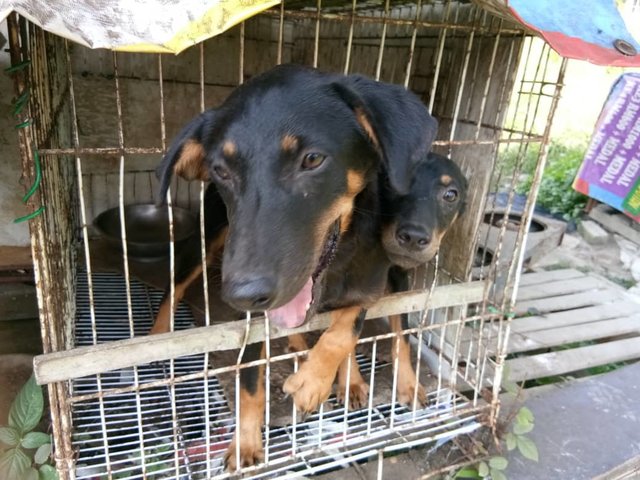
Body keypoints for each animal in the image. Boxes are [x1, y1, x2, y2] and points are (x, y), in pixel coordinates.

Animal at [152, 64, 438, 468]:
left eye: (312, 160)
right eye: (221, 170)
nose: (243, 294)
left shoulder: (367, 288)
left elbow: (345, 330)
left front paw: (314, 380)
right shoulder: (252, 323)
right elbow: (250, 385)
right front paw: (246, 443)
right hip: (207, 237)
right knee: (175, 284)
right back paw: (158, 336)